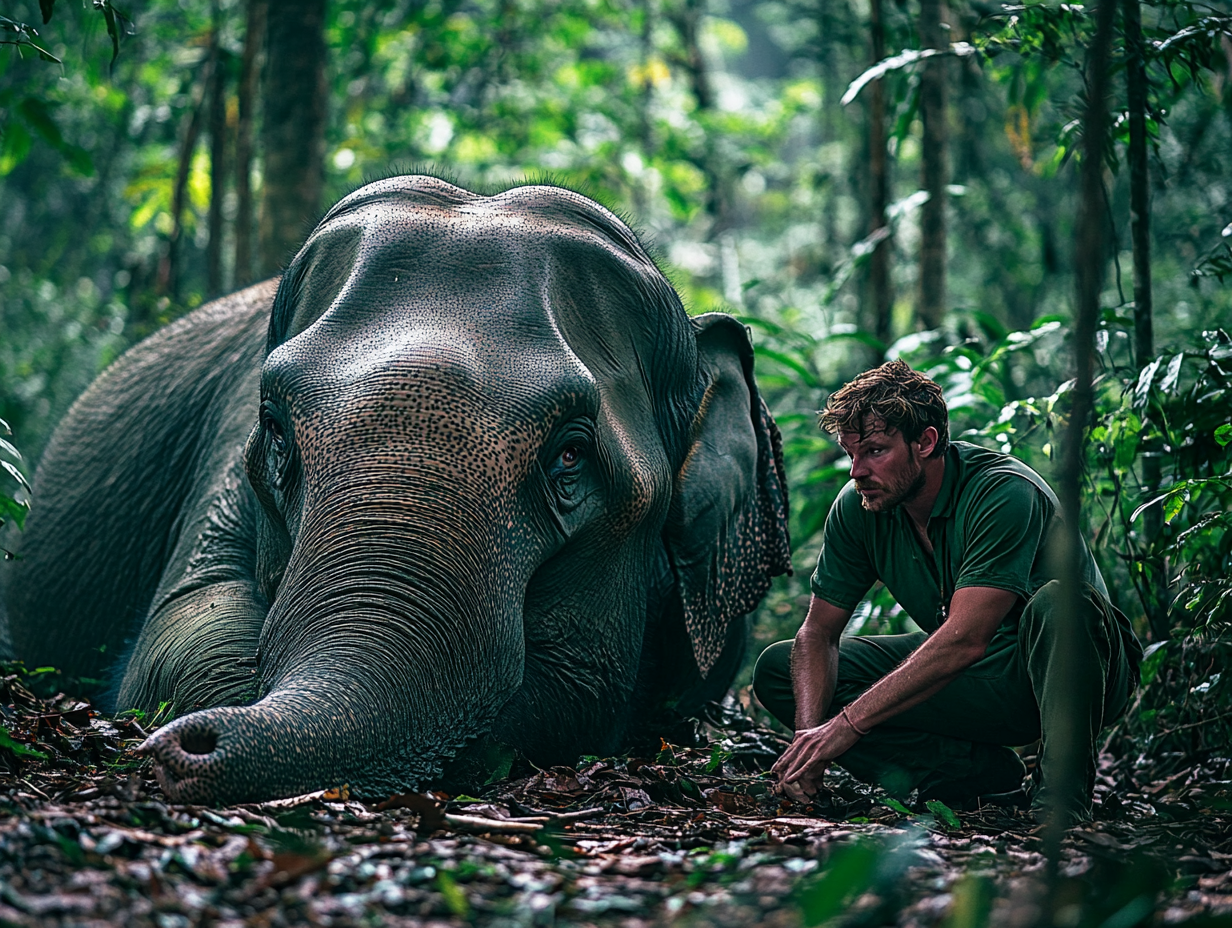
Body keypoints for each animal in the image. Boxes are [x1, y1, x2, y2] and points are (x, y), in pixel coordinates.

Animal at [1, 176, 791, 804]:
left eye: (570, 456)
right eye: (275, 428)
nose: (186, 745)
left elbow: (582, 682)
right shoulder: (227, 452)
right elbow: (180, 628)